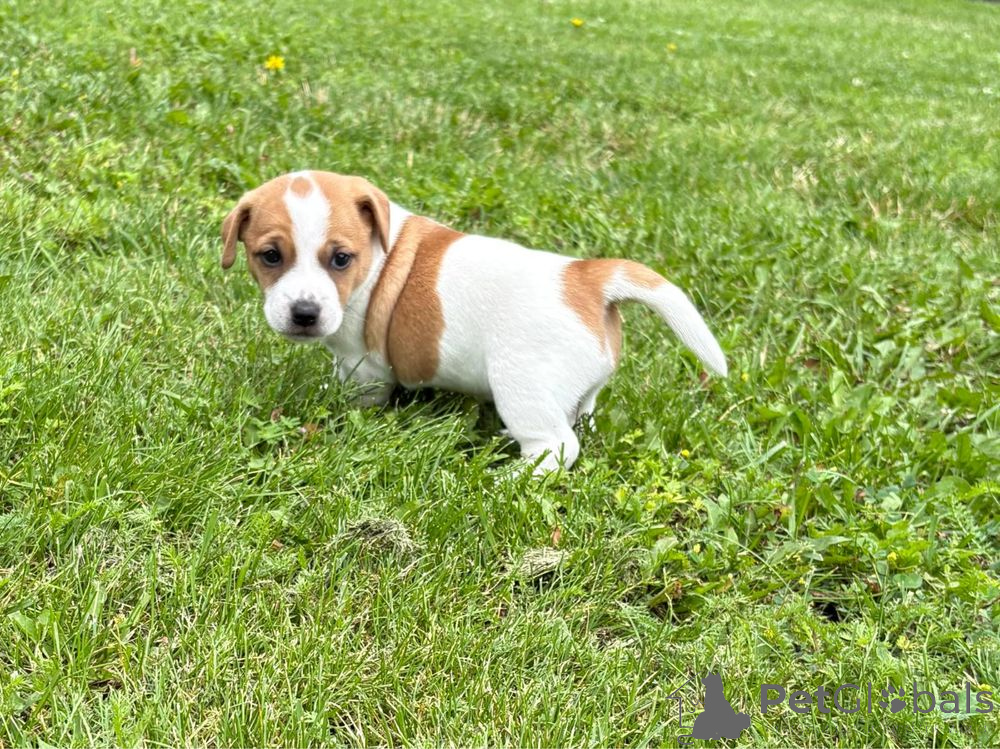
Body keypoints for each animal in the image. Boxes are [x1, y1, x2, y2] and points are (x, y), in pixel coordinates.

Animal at [221, 171, 727, 472]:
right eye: (270, 256)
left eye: (341, 259)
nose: (304, 313)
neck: (378, 257)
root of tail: (586, 278)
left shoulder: (361, 365)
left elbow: (356, 395)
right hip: (580, 389)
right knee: (581, 419)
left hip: (521, 386)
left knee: (557, 447)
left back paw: (509, 477)